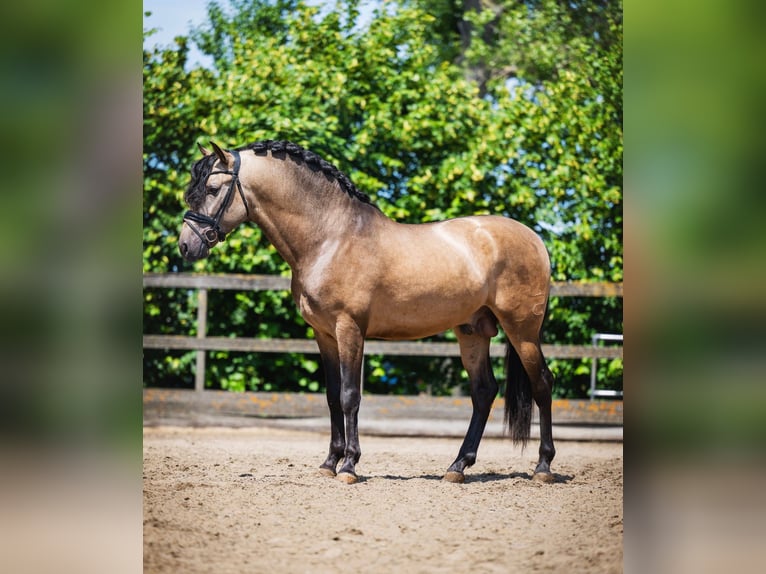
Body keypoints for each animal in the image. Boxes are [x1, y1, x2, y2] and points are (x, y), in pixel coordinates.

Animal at [178, 139, 556, 484]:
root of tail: (534, 239)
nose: (186, 245)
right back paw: (458, 466)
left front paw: (349, 465)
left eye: (212, 189)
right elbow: (332, 396)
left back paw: (543, 467)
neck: (331, 238)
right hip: (473, 331)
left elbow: (350, 396)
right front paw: (329, 463)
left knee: (541, 383)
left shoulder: (350, 329)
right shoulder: (324, 334)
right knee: (484, 392)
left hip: (521, 330)